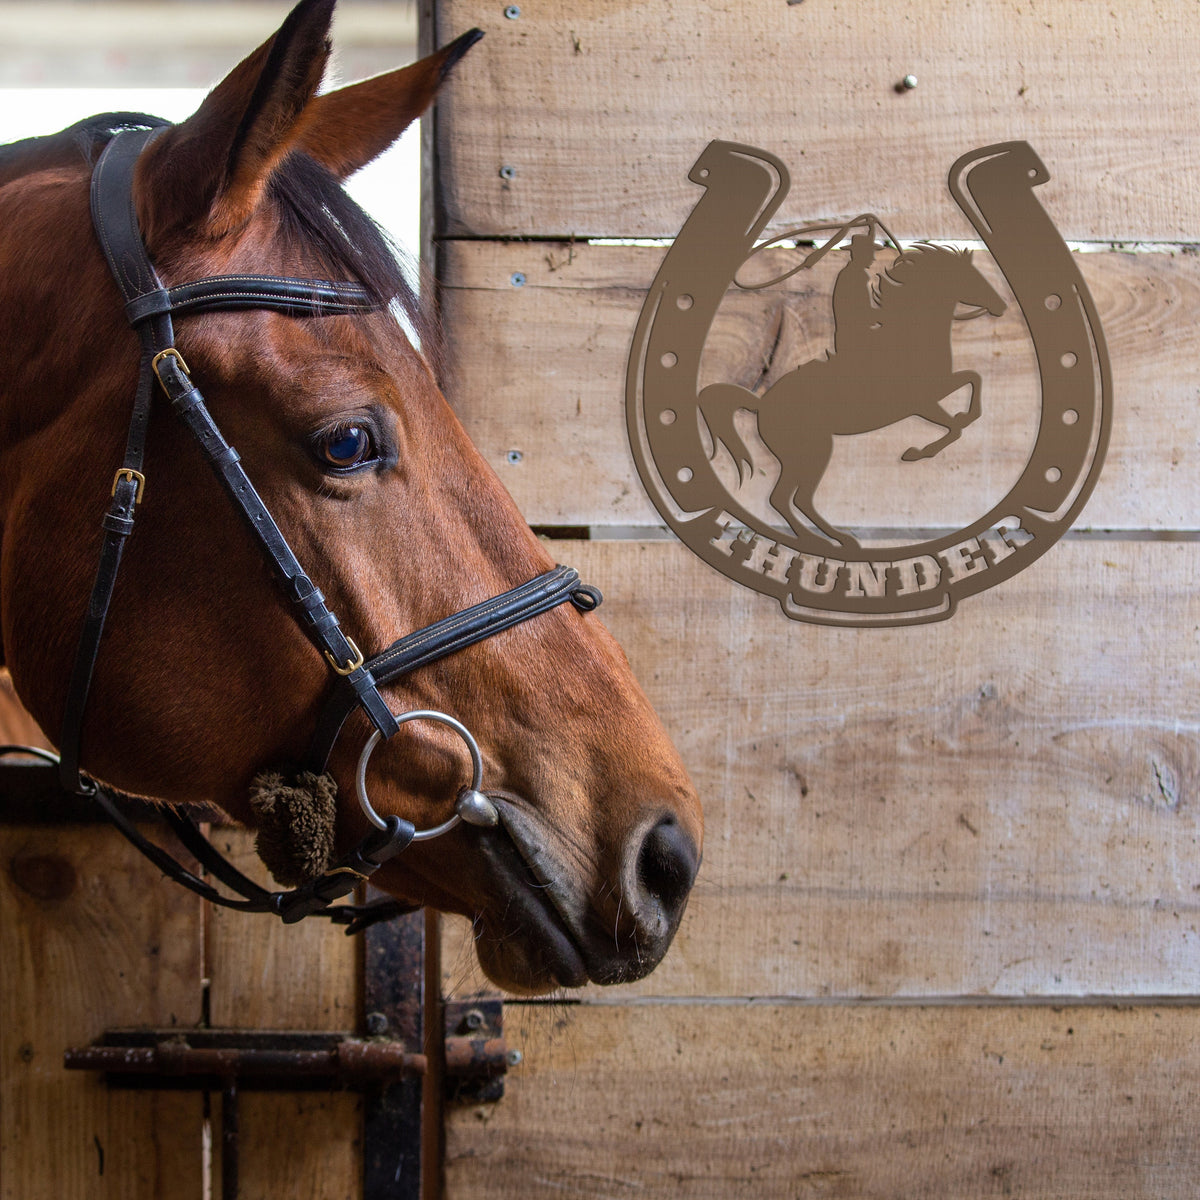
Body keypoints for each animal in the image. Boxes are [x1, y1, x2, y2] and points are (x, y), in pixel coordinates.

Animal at [700, 242, 1007, 549]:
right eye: (970, 277)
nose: (1002, 306)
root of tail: (761, 404)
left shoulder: (933, 394)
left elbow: (972, 381)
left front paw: (958, 421)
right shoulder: (921, 403)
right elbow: (956, 421)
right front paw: (917, 452)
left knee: (790, 499)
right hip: (812, 452)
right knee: (791, 498)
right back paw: (829, 540)